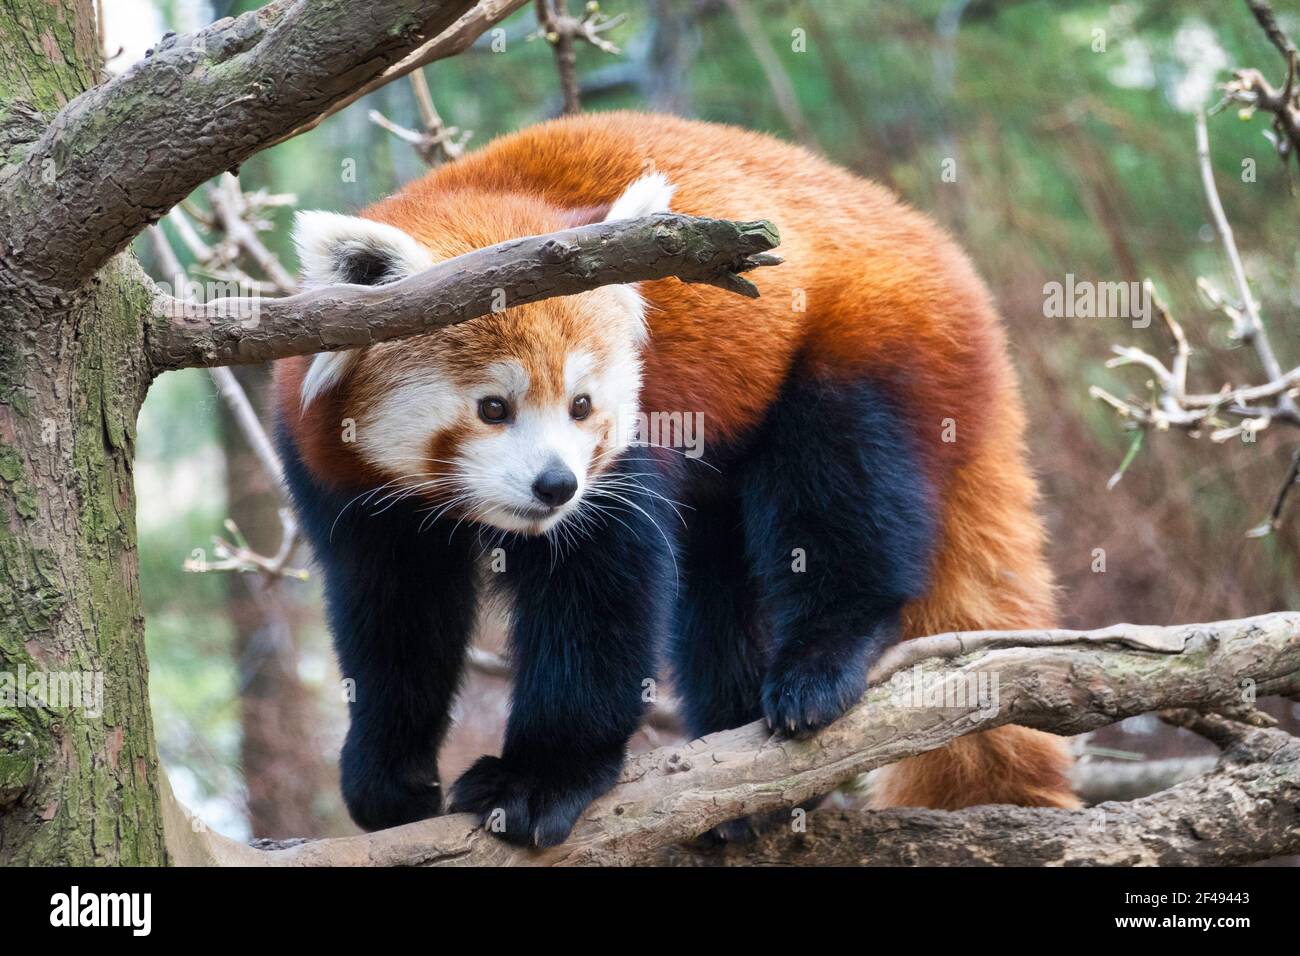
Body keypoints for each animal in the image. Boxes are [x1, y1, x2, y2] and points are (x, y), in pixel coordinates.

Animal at [274, 111, 1078, 847]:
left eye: (582, 405)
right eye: (493, 408)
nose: (555, 487)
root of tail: (929, 238)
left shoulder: (624, 459)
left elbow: (599, 598)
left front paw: (541, 779)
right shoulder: (345, 487)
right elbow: (394, 619)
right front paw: (389, 778)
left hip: (867, 343)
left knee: (840, 492)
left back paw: (823, 661)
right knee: (725, 584)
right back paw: (748, 772)